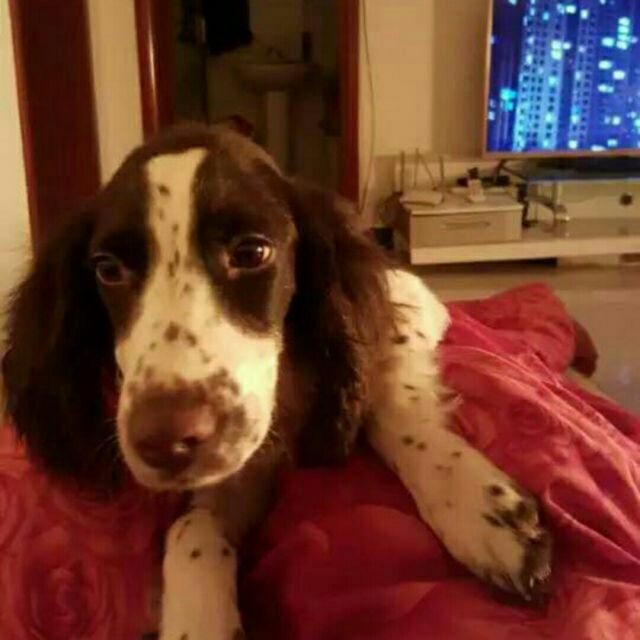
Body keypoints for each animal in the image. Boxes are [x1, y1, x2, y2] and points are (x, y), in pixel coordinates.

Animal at [2, 121, 551, 639]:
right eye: (108, 269)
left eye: (251, 252)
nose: (165, 443)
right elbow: (191, 529)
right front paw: (196, 619)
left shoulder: (410, 306)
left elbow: (390, 405)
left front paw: (472, 501)